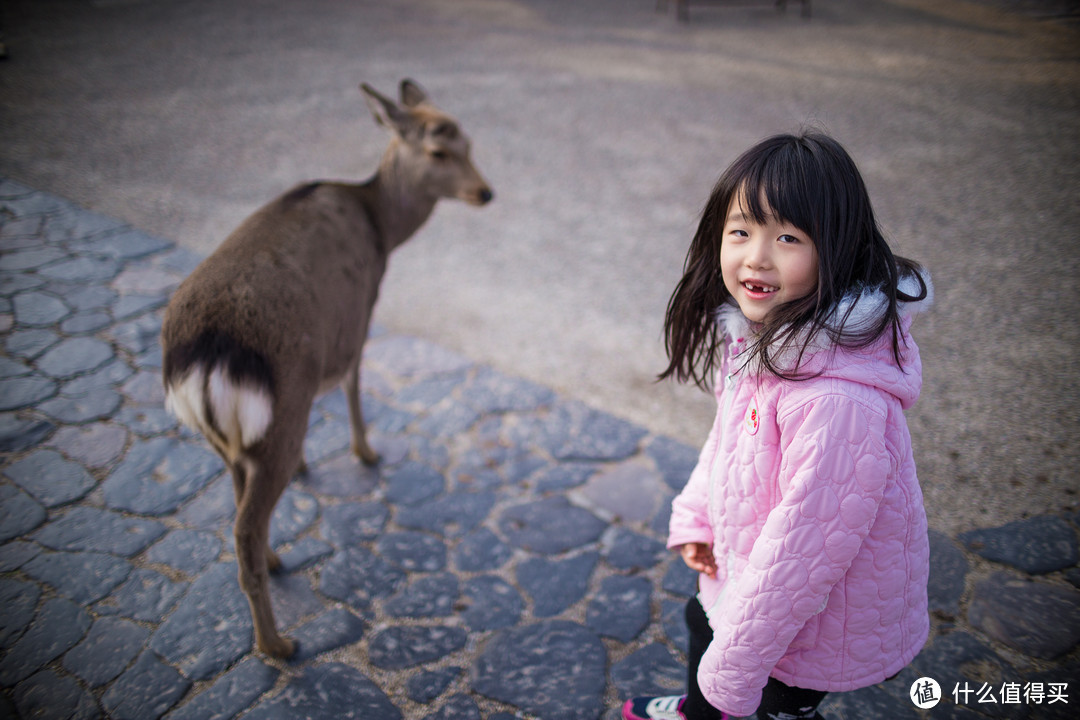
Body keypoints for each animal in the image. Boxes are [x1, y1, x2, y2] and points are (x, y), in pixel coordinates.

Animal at [158, 78, 494, 660]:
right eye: (438, 150)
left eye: (470, 142)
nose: (485, 192)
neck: (382, 227)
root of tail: (201, 355)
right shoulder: (358, 308)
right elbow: (355, 381)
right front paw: (366, 452)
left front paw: (314, 465)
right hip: (283, 401)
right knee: (244, 526)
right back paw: (277, 643)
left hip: (224, 431)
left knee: (238, 492)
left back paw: (274, 559)